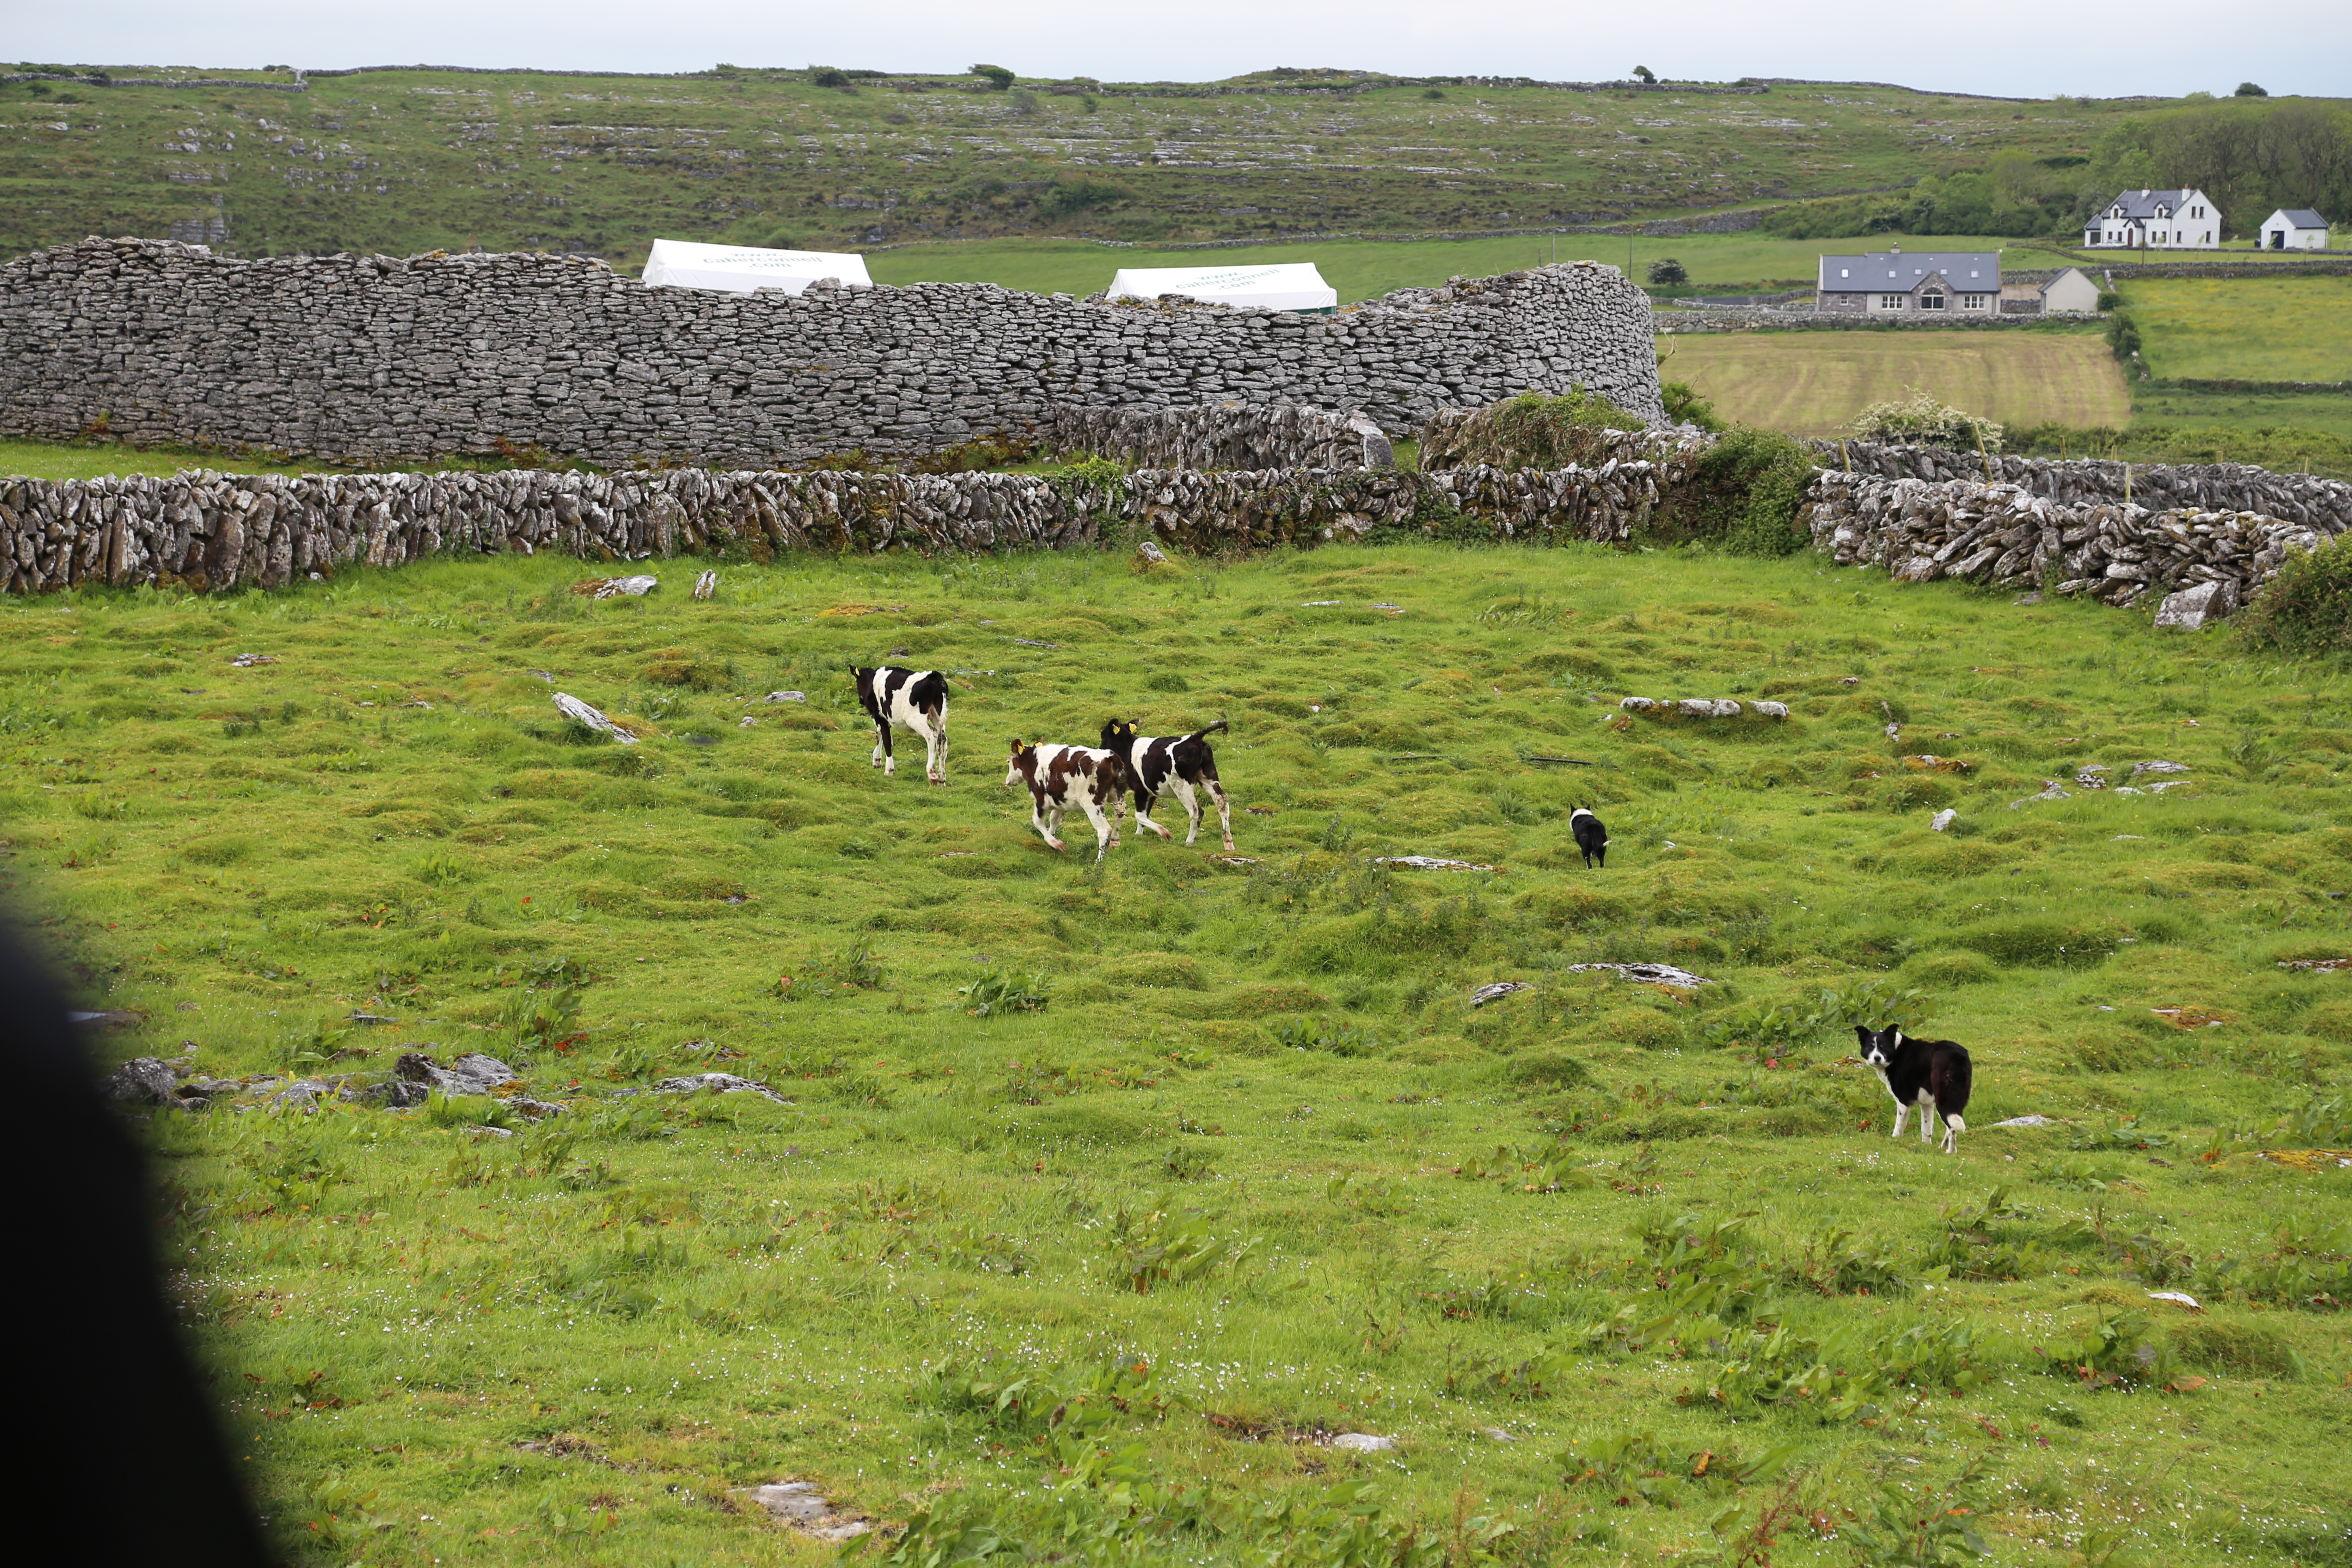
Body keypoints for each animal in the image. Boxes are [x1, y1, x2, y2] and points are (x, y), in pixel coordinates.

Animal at [856, 663, 945, 785]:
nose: (860, 700)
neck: (872, 680)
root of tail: (933, 676)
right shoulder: (885, 717)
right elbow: (880, 734)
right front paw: (877, 761)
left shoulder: (878, 716)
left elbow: (887, 741)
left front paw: (889, 770)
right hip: (939, 716)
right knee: (943, 740)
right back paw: (942, 779)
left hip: (915, 719)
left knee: (931, 737)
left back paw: (932, 774)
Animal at [1007, 738, 1124, 865]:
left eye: (1009, 761)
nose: (1008, 781)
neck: (1035, 762)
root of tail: (1110, 757)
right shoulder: (1060, 802)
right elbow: (1054, 819)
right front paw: (1052, 840)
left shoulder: (1041, 799)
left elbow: (1037, 821)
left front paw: (1056, 844)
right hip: (1117, 796)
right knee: (1120, 816)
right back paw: (1115, 842)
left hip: (1092, 803)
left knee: (1104, 830)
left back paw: (1099, 861)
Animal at [1100, 719, 1242, 851]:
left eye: (1103, 735)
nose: (1101, 750)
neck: (1129, 749)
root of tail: (1194, 738)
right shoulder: (1151, 792)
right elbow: (1144, 815)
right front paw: (1139, 835)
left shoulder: (1140, 789)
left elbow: (1139, 815)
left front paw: (1164, 833)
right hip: (1209, 777)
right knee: (1222, 801)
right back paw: (1228, 843)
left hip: (1181, 785)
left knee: (1196, 810)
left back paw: (1189, 841)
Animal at [1571, 808, 1608, 870]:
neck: (1583, 815)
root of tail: (1593, 827)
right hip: (1603, 844)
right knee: (1601, 856)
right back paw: (1601, 867)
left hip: (1585, 846)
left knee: (1587, 858)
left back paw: (1590, 868)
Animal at [1853, 1029, 1966, 1152]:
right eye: (1870, 1047)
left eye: (1884, 1047)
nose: (1877, 1058)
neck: (1897, 1051)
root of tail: (1955, 1055)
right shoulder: (1926, 1103)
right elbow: (1926, 1129)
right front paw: (1926, 1146)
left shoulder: (1904, 1102)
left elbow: (1899, 1128)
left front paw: (1895, 1142)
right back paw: (1943, 1147)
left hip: (1943, 1101)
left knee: (1952, 1128)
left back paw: (1951, 1152)